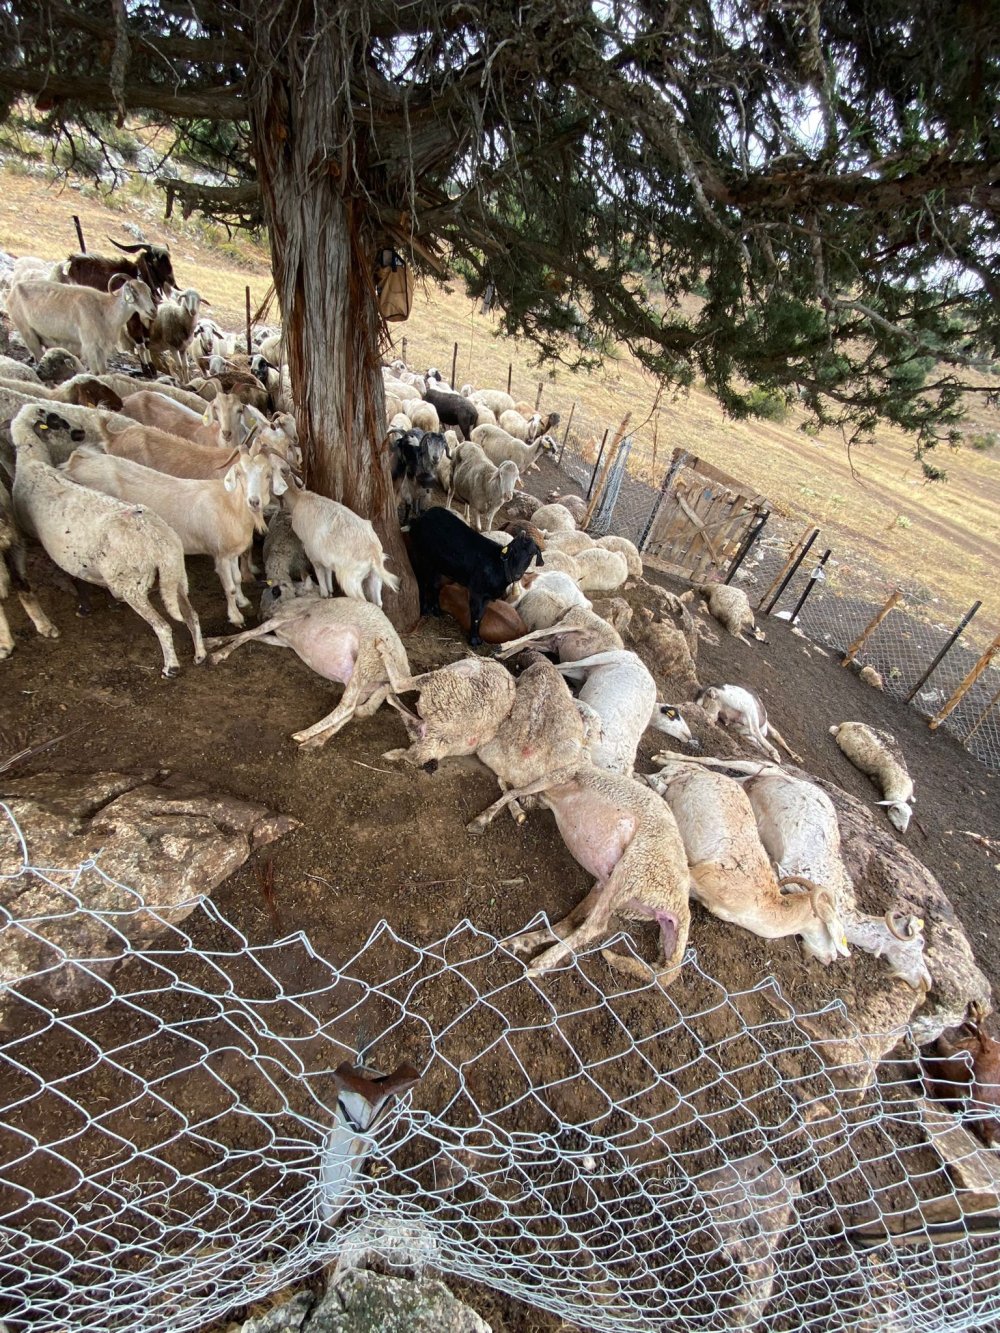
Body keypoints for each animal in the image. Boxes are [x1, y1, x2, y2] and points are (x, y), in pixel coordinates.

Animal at [9, 402, 204, 677]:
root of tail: (159, 543)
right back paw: (200, 654)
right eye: (56, 420)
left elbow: (74, 577)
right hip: (174, 576)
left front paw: (84, 607)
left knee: (163, 627)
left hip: (133, 585)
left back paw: (171, 667)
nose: (80, 433)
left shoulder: (53, 549)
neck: (33, 462)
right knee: (191, 615)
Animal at [205, 594, 408, 751]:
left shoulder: (284, 617)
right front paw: (213, 641)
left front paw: (218, 654)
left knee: (347, 706)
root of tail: (397, 676)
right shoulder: (284, 641)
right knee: (350, 712)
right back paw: (315, 741)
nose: (259, 614)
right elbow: (252, 636)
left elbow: (248, 633)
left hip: (368, 658)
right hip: (365, 682)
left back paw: (304, 734)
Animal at [410, 503, 544, 645]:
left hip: (437, 562)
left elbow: (481, 615)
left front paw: (477, 637)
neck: (499, 566)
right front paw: (474, 640)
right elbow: (475, 614)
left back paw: (436, 610)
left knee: (434, 583)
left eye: (531, 554)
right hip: (421, 553)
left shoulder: (487, 596)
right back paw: (424, 609)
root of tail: (427, 512)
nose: (517, 574)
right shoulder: (477, 592)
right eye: (514, 551)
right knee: (421, 580)